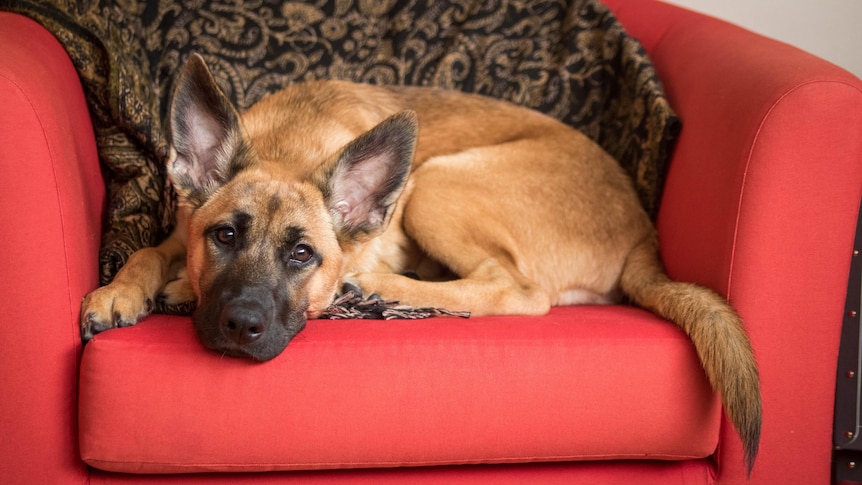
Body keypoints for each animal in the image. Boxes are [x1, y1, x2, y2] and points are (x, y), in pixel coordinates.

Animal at [77, 54, 760, 470]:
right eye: (223, 236)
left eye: (302, 254)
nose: (241, 325)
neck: (290, 147)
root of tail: (645, 230)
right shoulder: (183, 229)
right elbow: (150, 249)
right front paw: (122, 290)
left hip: (436, 182)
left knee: (516, 291)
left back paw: (375, 286)